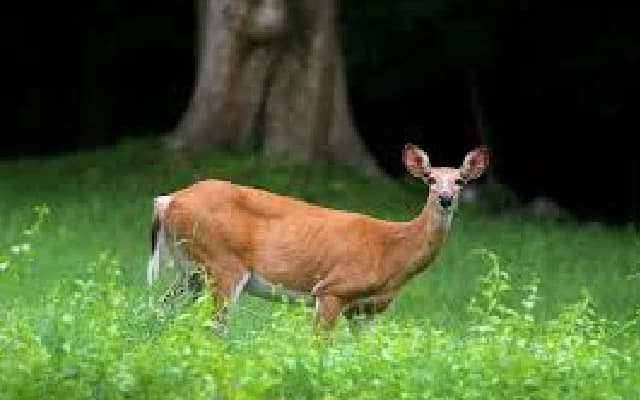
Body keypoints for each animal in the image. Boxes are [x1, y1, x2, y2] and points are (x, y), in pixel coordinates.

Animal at [146, 144, 489, 333]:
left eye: (460, 180)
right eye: (430, 179)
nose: (445, 199)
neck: (393, 251)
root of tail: (168, 201)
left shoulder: (365, 310)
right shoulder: (332, 290)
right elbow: (320, 347)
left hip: (190, 271)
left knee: (159, 309)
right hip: (223, 264)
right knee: (214, 327)